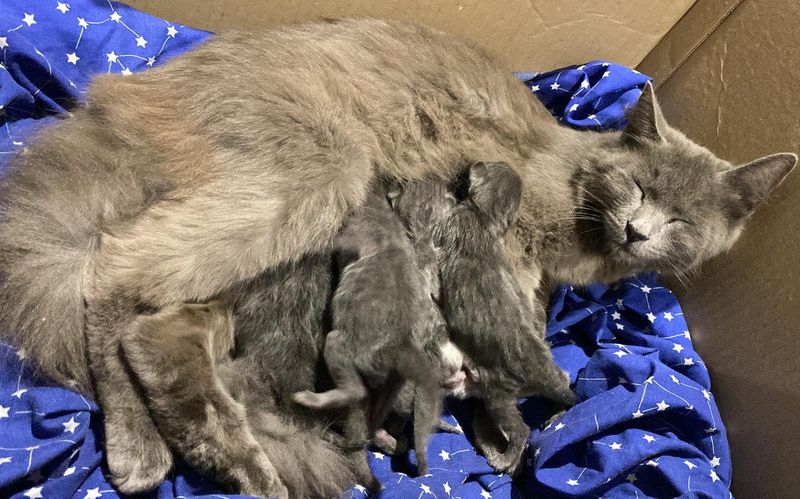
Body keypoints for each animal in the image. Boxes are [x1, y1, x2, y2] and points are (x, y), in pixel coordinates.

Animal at [292, 188, 456, 476]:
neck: (381, 213)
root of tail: (402, 346)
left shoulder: (351, 236)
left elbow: (336, 243)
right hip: (391, 384)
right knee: (376, 417)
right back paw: (383, 435)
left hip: (343, 345)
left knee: (355, 390)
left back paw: (312, 399)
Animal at [432, 163, 576, 476]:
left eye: (483, 165)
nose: (469, 164)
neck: (486, 217)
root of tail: (543, 375)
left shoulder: (451, 222)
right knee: (567, 381)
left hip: (499, 393)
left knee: (520, 429)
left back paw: (504, 458)